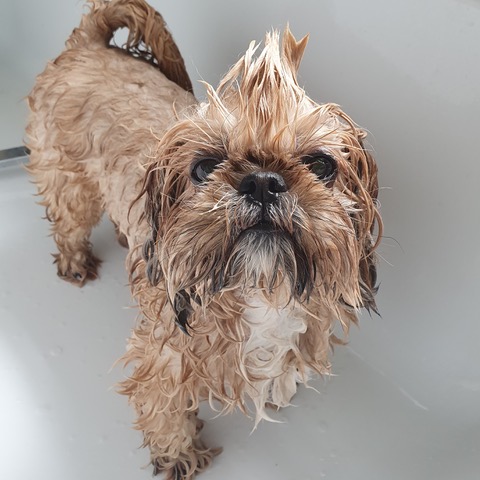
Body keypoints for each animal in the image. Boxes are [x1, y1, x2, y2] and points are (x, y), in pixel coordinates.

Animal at [26, 0, 382, 478]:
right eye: (204, 166)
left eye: (321, 164)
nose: (263, 182)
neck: (258, 290)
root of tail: (89, 43)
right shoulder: (163, 359)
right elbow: (165, 412)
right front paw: (179, 455)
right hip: (70, 183)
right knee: (69, 221)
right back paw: (75, 261)